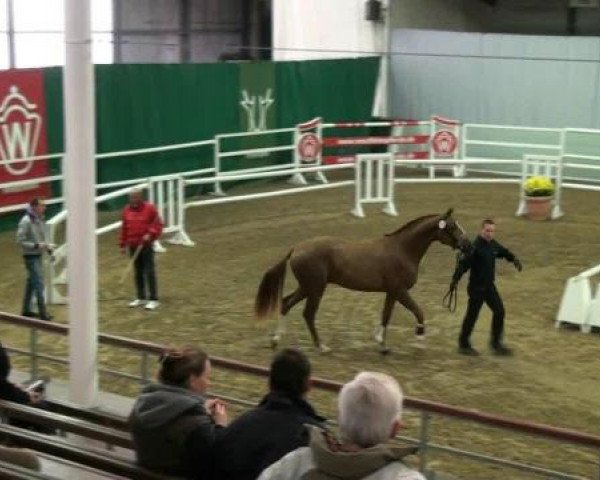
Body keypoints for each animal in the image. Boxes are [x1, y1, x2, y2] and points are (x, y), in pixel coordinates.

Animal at [255, 209, 472, 352]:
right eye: (452, 226)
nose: (468, 246)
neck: (402, 250)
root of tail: (296, 249)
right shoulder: (400, 290)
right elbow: (418, 312)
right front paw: (419, 339)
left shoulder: (392, 292)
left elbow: (386, 316)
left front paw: (381, 344)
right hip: (315, 288)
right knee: (308, 314)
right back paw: (321, 346)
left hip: (307, 287)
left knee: (285, 304)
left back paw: (275, 340)